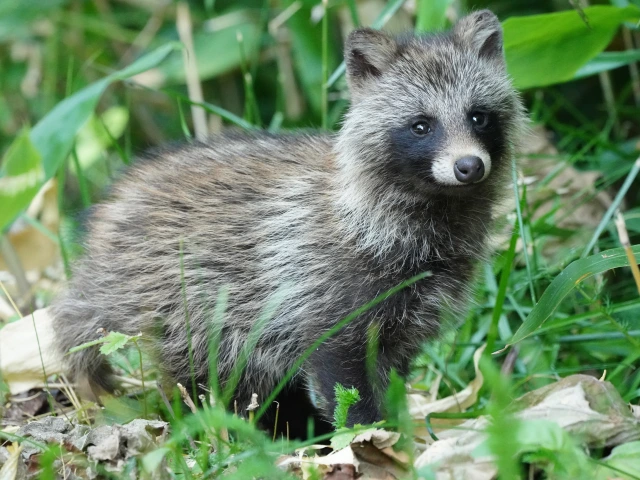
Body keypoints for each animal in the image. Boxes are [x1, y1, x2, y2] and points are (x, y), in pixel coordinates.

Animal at [51, 10, 526, 433]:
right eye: (421, 125)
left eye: (478, 116)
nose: (469, 166)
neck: (438, 209)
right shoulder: (322, 292)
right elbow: (346, 378)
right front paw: (371, 436)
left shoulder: (410, 313)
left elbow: (389, 374)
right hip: (181, 304)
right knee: (203, 373)